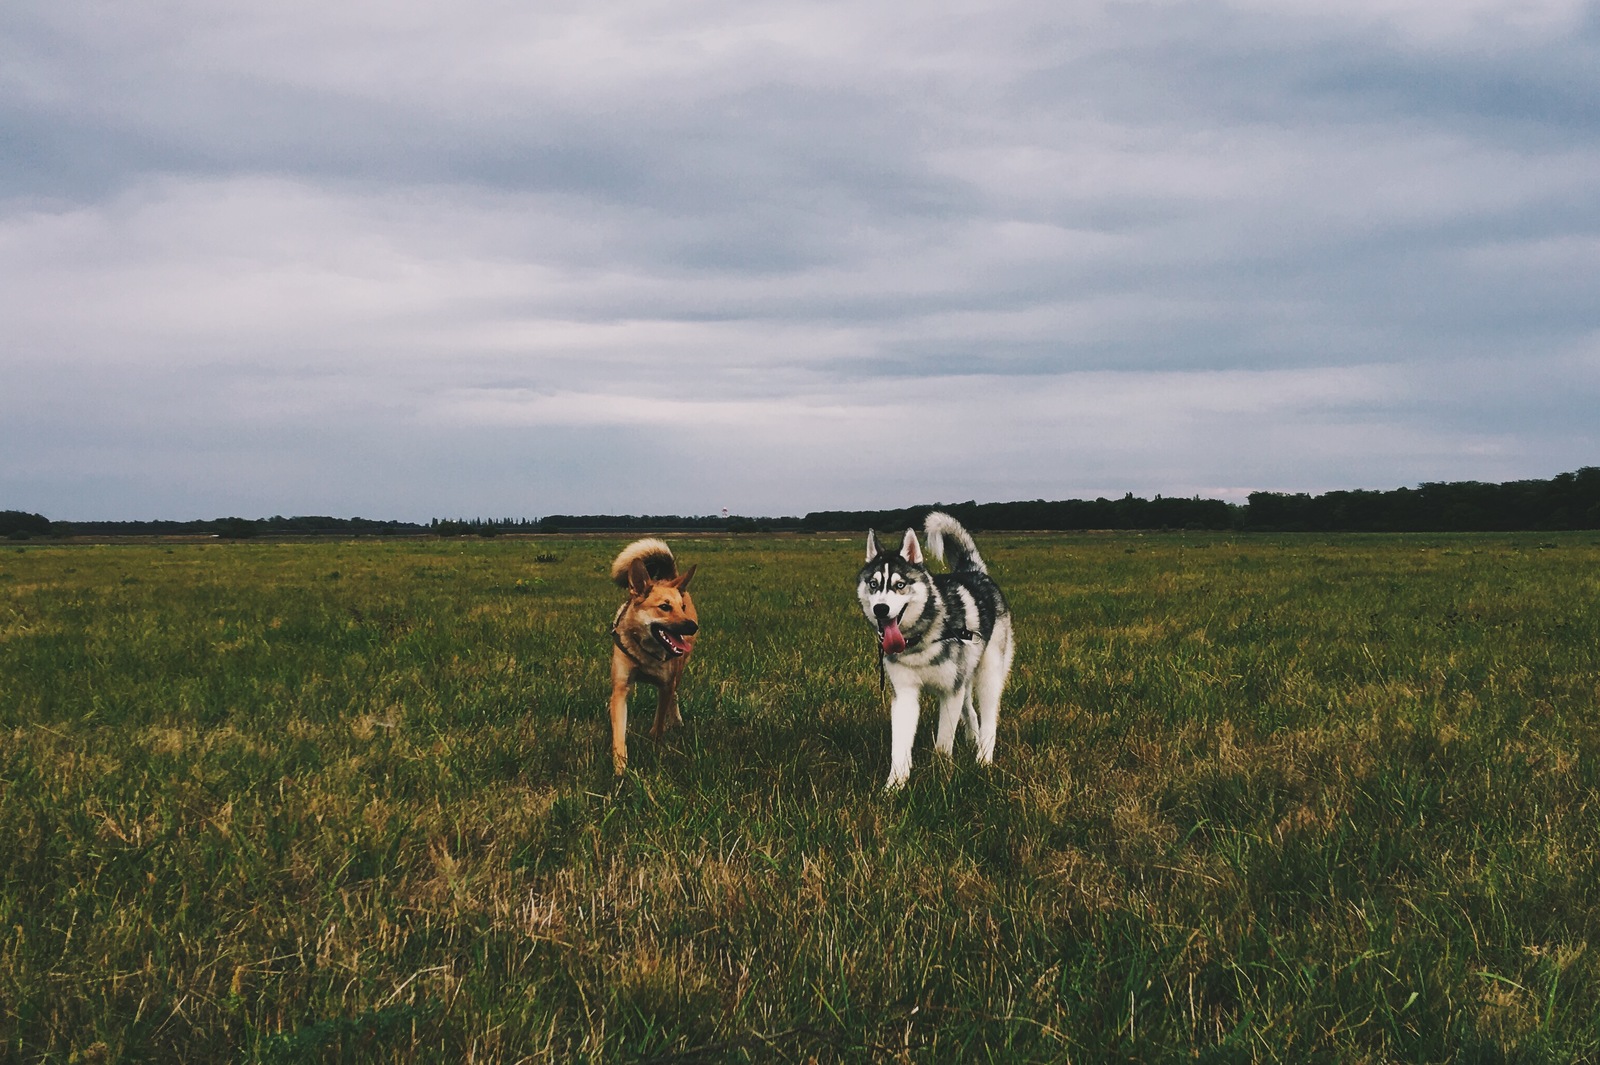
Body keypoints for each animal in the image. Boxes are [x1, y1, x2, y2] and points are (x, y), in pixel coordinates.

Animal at [601, 540, 697, 770]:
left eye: (682, 607)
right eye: (664, 607)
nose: (692, 626)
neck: (646, 653)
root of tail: (668, 578)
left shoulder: (666, 685)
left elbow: (659, 722)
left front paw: (655, 746)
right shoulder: (620, 688)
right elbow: (619, 733)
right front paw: (620, 768)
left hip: (678, 673)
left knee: (675, 696)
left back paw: (677, 721)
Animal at [857, 511, 1017, 783]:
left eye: (900, 585)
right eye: (874, 584)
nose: (880, 609)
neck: (920, 638)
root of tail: (973, 571)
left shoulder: (950, 692)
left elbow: (943, 742)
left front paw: (941, 775)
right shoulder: (905, 693)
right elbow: (899, 747)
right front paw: (894, 785)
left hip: (989, 674)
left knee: (989, 717)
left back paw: (984, 758)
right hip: (965, 679)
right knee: (971, 712)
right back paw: (973, 741)